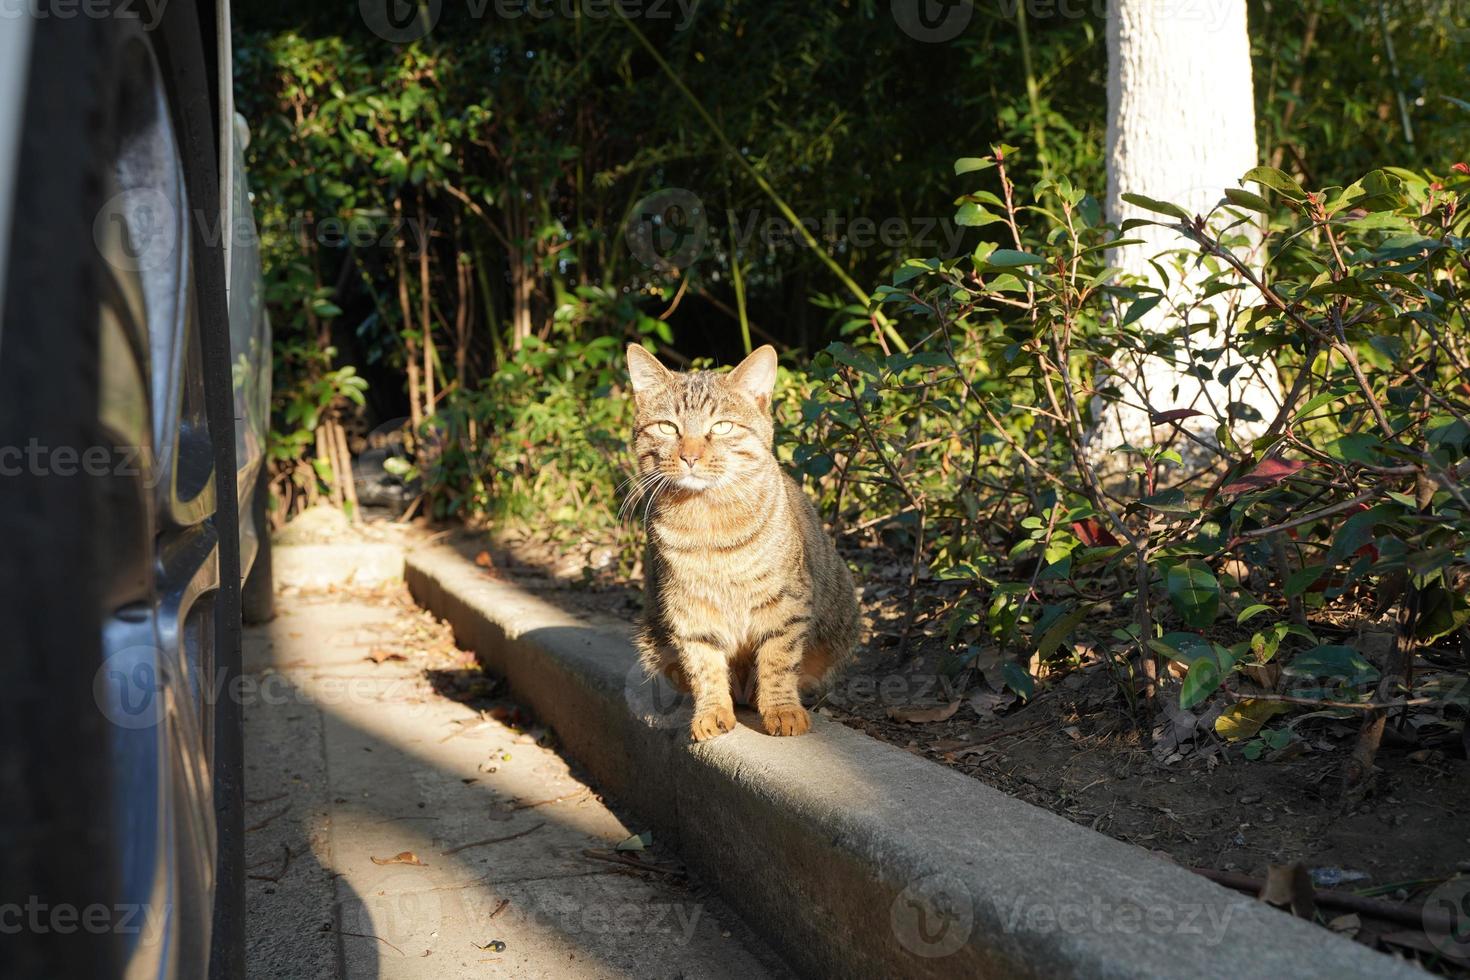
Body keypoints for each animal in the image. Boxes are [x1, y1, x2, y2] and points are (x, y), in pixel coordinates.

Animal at [623, 348, 858, 740]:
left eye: (722, 427)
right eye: (668, 427)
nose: (690, 456)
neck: (707, 520)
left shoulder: (784, 604)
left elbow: (779, 660)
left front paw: (782, 709)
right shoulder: (688, 610)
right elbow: (704, 666)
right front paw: (711, 711)